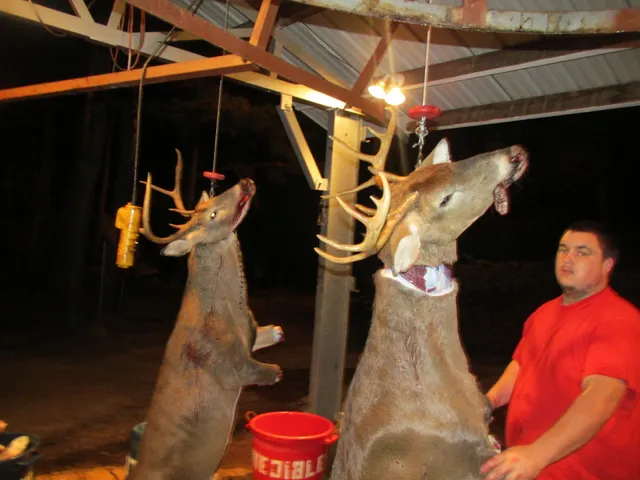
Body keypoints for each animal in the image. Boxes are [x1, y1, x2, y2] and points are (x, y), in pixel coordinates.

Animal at [128, 150, 284, 480]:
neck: (227, 314)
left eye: (213, 200)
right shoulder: (233, 366)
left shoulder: (252, 333)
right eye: (211, 215)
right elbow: (272, 370)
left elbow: (276, 330)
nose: (245, 182)